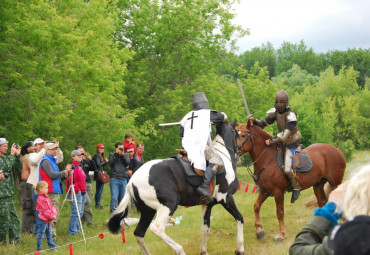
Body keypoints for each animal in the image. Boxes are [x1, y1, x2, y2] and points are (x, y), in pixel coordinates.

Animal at [108, 120, 244, 255]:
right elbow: (240, 218)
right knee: (157, 228)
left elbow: (205, 228)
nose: (240, 154)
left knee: (139, 233)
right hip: (168, 205)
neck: (224, 157)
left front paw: (204, 251)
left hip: (148, 211)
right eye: (239, 134)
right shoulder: (226, 198)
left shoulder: (207, 204)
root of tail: (131, 182)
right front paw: (240, 248)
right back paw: (179, 249)